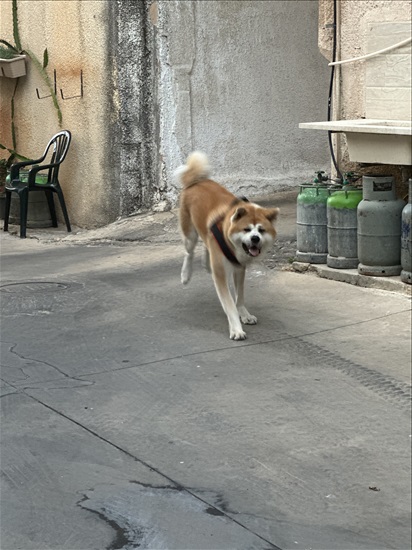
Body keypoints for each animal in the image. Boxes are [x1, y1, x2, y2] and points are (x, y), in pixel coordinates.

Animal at [175, 151, 278, 340]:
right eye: (246, 229)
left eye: (261, 230)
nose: (255, 239)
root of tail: (196, 181)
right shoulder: (221, 274)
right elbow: (229, 304)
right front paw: (236, 328)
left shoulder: (239, 268)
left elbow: (240, 297)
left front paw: (244, 314)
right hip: (190, 234)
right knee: (189, 252)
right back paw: (185, 274)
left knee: (206, 243)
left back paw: (206, 262)